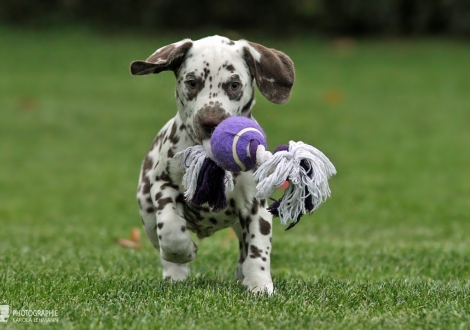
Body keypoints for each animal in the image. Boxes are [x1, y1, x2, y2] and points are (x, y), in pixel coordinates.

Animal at [129, 35, 294, 294]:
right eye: (192, 82)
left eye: (234, 85)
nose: (210, 121)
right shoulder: (163, 186)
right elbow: (171, 230)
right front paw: (184, 251)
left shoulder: (254, 205)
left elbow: (257, 250)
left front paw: (259, 285)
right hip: (146, 212)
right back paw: (175, 274)